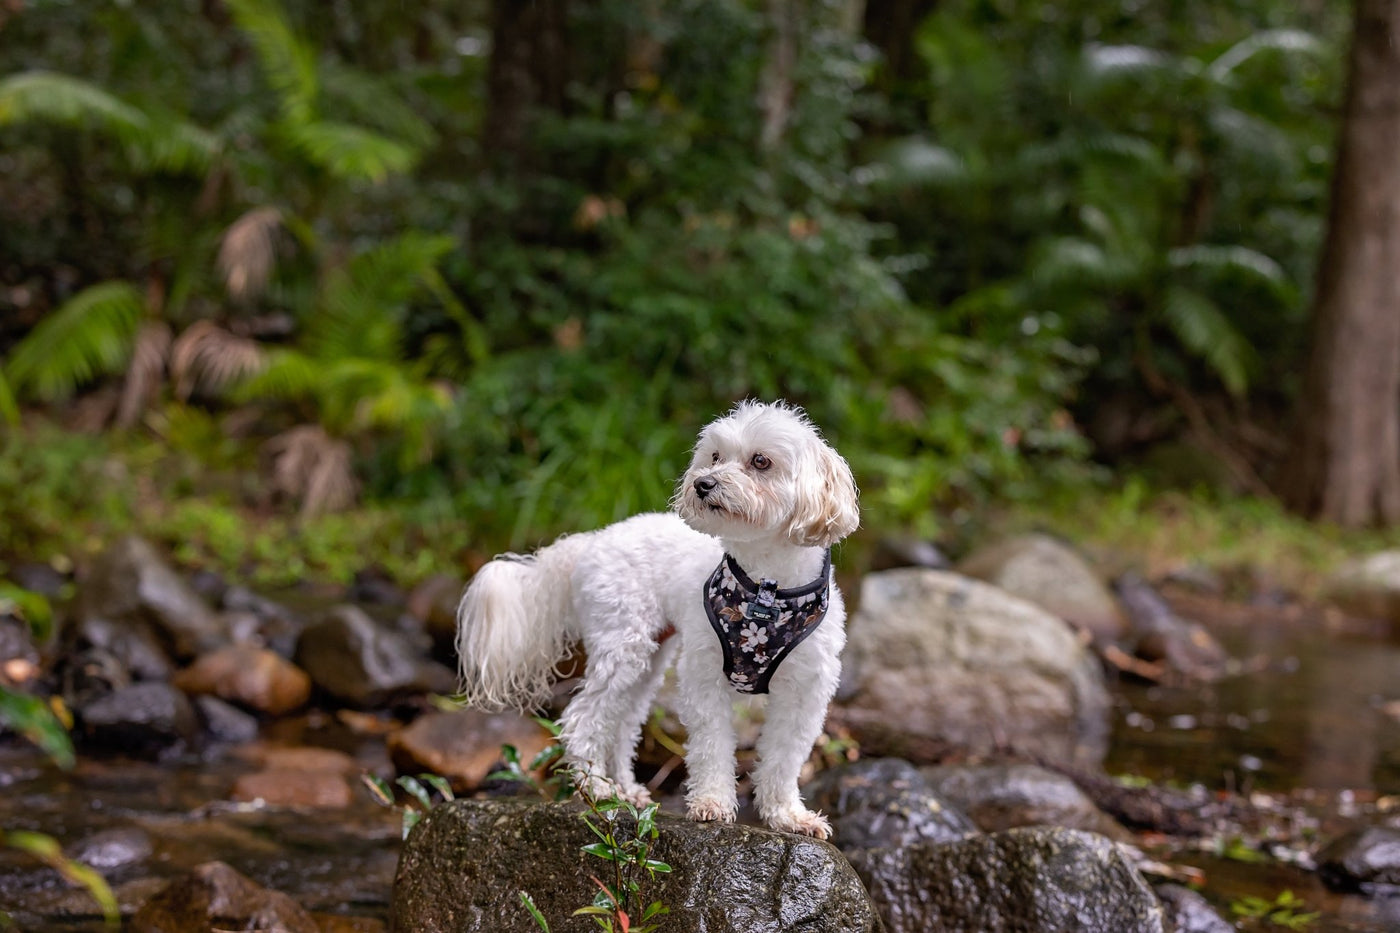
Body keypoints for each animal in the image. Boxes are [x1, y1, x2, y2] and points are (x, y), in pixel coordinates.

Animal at [453, 400, 856, 834]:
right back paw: (597, 788)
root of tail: (589, 542)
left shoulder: (806, 691)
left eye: (761, 461)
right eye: (715, 456)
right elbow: (712, 745)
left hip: (648, 659)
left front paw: (787, 815)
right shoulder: (704, 675)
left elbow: (785, 757)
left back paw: (626, 789)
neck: (767, 588)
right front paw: (712, 803)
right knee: (584, 718)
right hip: (623, 644)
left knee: (623, 725)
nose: (703, 483)